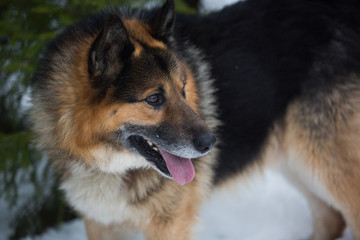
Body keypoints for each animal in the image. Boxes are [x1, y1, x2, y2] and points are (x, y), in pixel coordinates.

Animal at [30, 0, 360, 239]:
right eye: (154, 98)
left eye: (184, 88)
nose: (212, 143)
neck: (110, 165)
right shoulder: (100, 222)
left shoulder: (170, 225)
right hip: (297, 161)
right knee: (331, 219)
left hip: (325, 163)